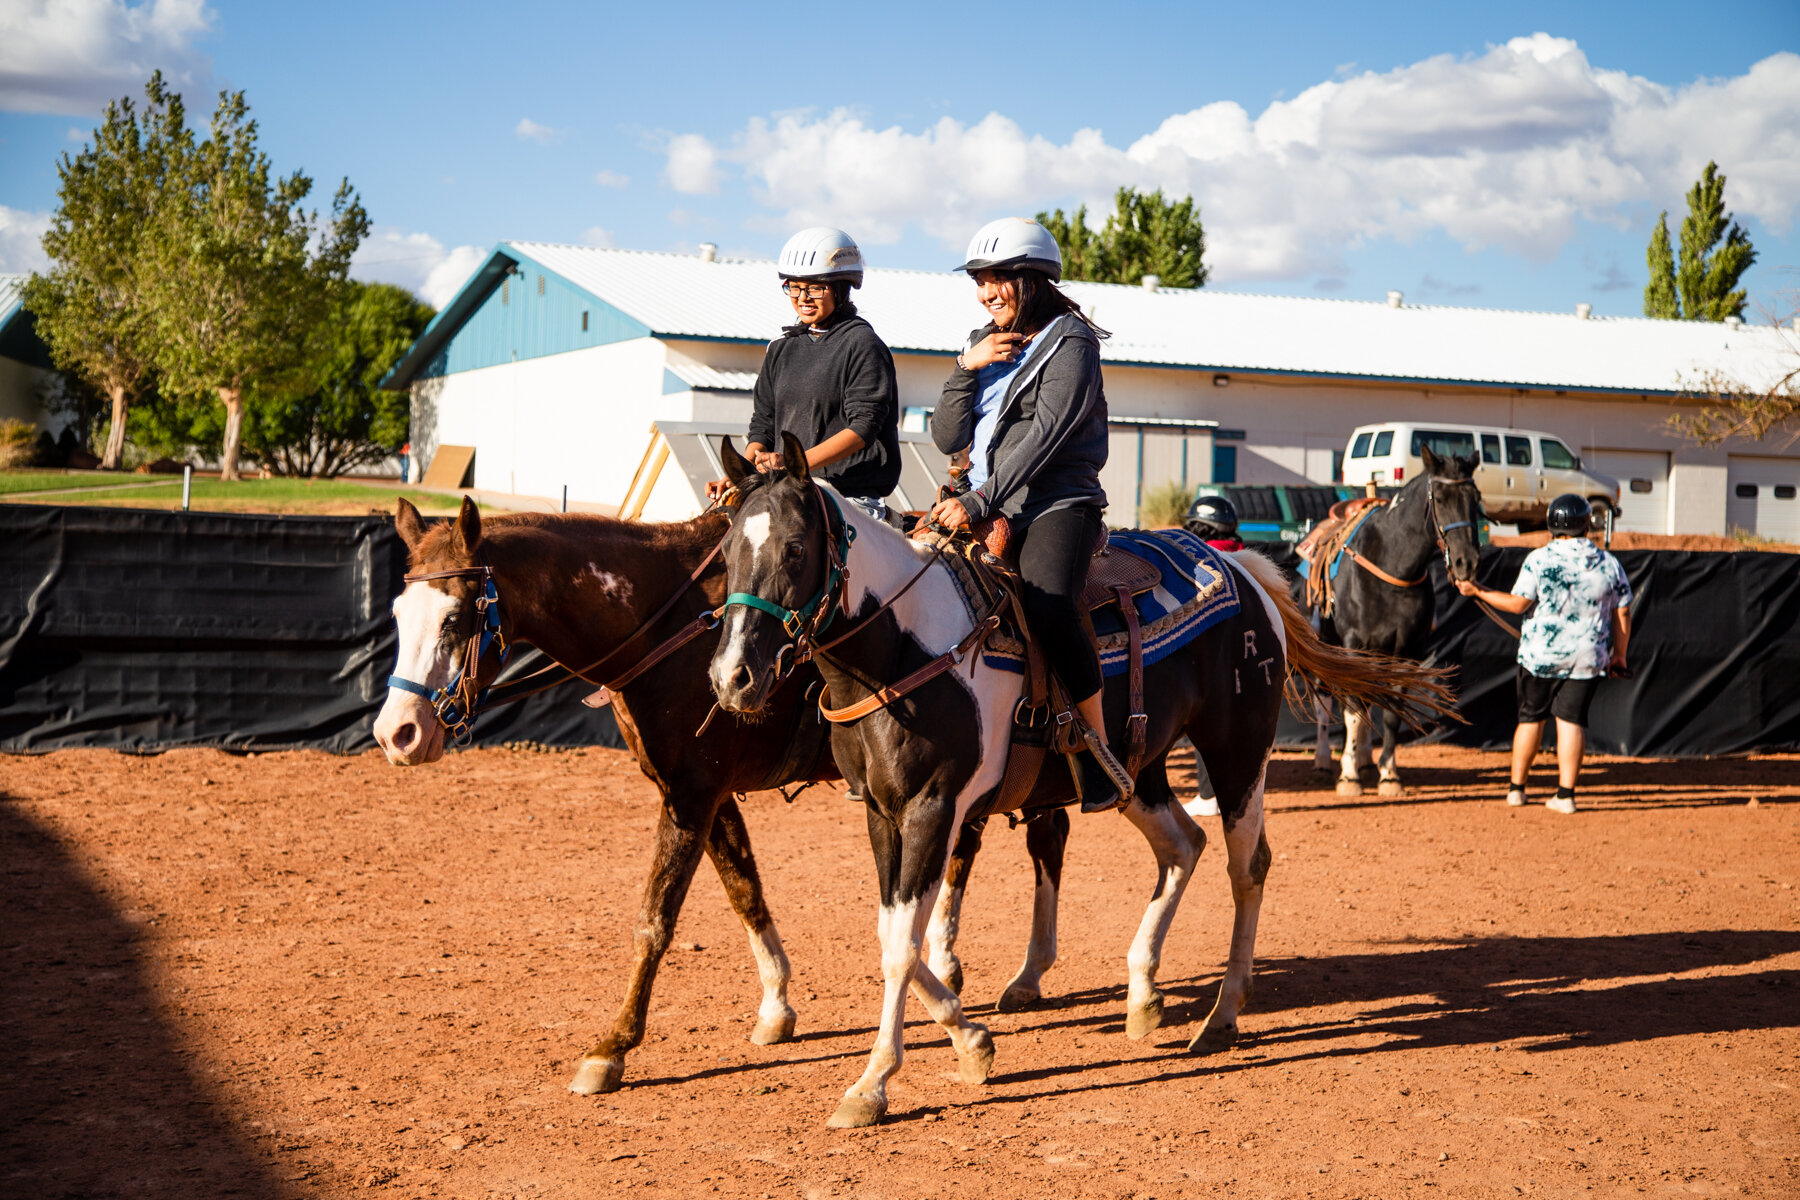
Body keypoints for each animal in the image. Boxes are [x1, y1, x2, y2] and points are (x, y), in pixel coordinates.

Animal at [709, 437, 1454, 1129]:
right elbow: (892, 932)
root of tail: (1242, 571)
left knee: (1247, 868)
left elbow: (901, 948)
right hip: (1135, 772)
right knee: (1182, 847)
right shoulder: (883, 814)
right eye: (726, 552)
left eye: (795, 547)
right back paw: (1144, 994)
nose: (732, 677)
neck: (907, 646)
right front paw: (972, 1041)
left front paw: (873, 1084)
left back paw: (1221, 1016)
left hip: (1237, 753)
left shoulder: (934, 810)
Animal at [1303, 446, 1483, 791]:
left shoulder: (1407, 650)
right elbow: (1351, 710)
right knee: (1328, 701)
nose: (1467, 562)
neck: (1392, 564)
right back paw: (1324, 760)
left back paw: (1364, 759)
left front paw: (1388, 773)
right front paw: (1348, 777)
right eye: (1440, 498)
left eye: (1476, 497)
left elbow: (1391, 711)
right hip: (1328, 643)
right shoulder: (1353, 644)